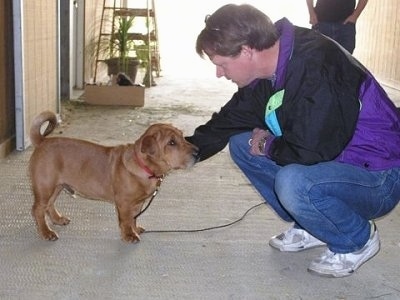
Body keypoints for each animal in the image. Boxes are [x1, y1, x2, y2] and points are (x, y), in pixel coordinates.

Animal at [28, 111, 198, 243]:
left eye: (182, 136)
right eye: (171, 143)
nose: (197, 151)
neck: (143, 165)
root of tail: (42, 141)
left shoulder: (138, 203)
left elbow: (134, 218)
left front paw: (135, 229)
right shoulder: (124, 203)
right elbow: (126, 220)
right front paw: (129, 235)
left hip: (56, 186)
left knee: (49, 205)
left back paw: (58, 219)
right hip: (45, 186)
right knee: (38, 209)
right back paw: (46, 232)